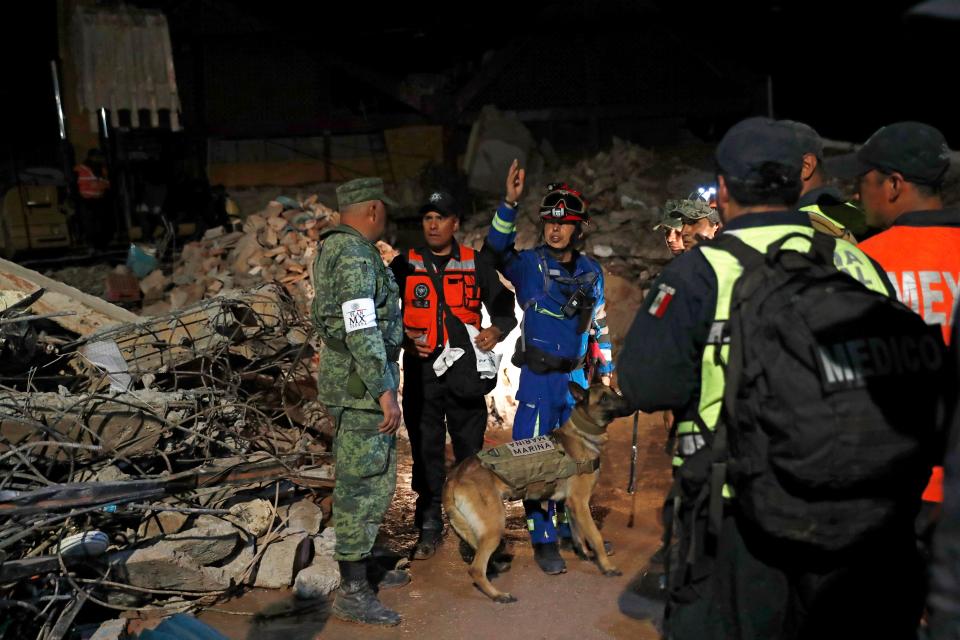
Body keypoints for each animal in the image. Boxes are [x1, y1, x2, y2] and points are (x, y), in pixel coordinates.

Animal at [442, 382, 632, 604]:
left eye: (614, 392)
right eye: (603, 398)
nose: (630, 401)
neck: (582, 433)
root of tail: (454, 475)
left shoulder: (572, 505)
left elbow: (578, 533)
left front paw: (584, 553)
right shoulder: (581, 503)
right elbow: (596, 536)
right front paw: (606, 566)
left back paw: (495, 568)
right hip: (494, 525)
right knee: (475, 569)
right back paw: (498, 595)